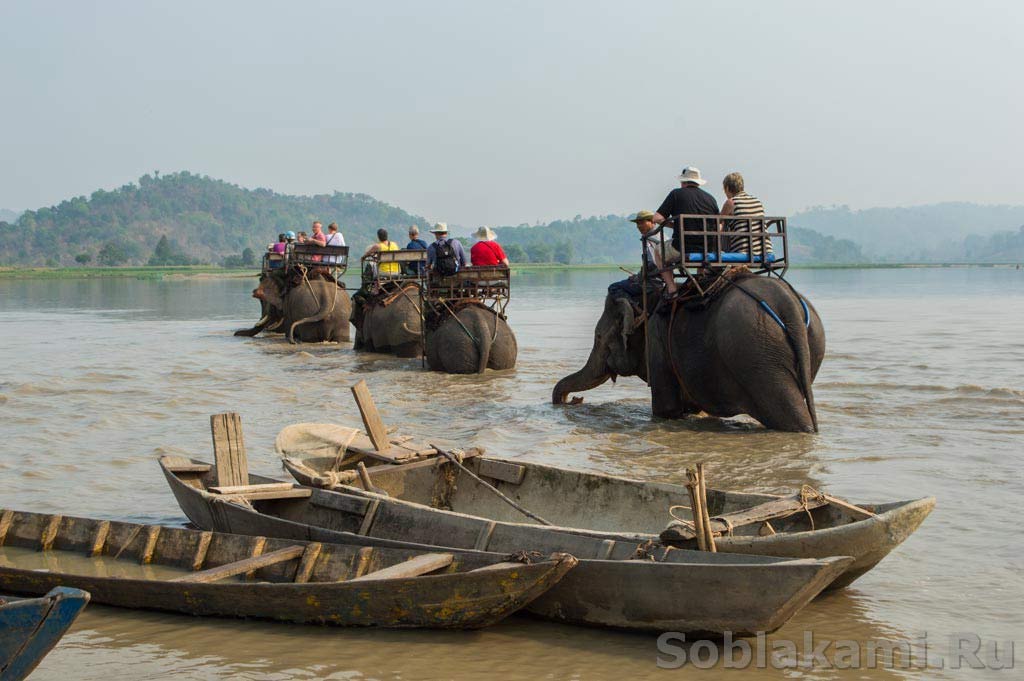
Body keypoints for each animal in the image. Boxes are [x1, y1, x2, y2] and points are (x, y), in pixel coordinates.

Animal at [552, 274, 823, 430]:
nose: (572, 400)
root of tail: (787, 301)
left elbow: (666, 409)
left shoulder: (657, 341)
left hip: (758, 356)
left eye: (598, 337)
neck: (649, 297)